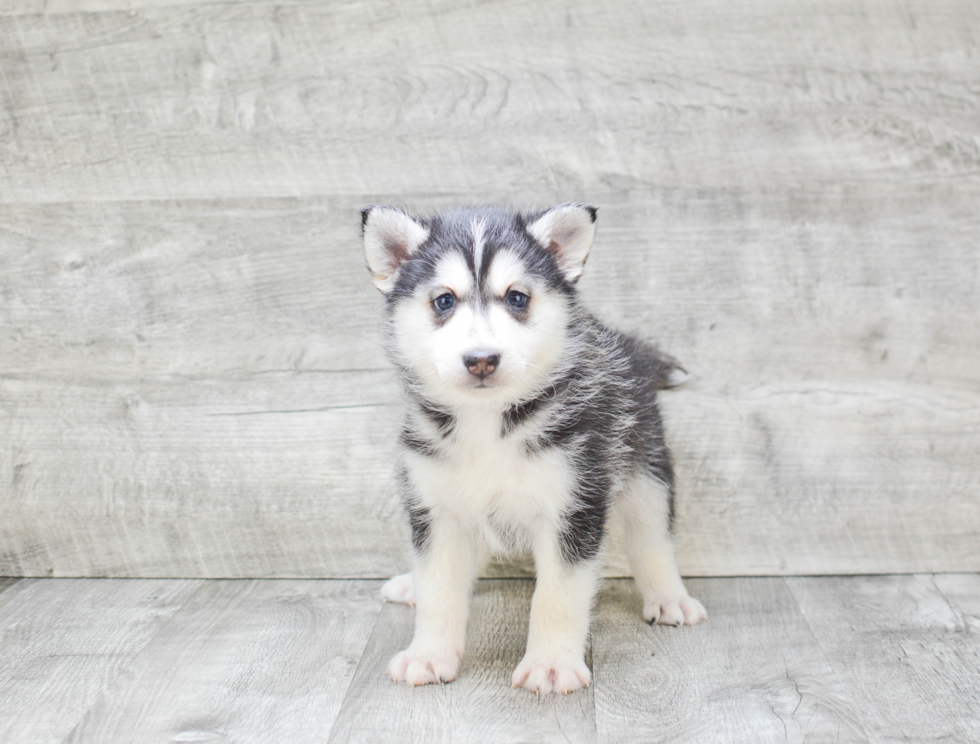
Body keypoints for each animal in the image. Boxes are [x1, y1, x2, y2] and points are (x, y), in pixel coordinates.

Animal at [360, 202, 704, 692]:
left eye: (517, 298)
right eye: (444, 300)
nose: (481, 359)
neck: (487, 420)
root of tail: (628, 343)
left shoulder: (574, 505)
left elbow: (557, 596)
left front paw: (551, 664)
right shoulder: (435, 507)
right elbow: (440, 588)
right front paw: (428, 655)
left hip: (645, 472)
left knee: (651, 541)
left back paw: (670, 597)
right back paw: (411, 583)